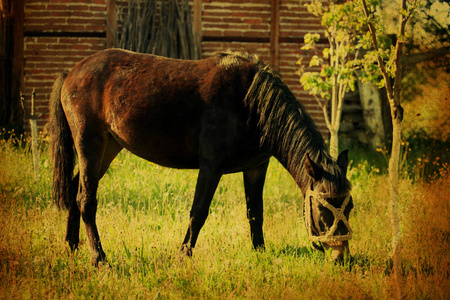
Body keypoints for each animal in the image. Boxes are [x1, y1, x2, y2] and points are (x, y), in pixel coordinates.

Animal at [48, 49, 352, 264]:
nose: (341, 258)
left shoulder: (256, 168)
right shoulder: (211, 167)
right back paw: (99, 258)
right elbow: (198, 212)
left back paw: (72, 246)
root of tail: (71, 72)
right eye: (324, 208)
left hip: (109, 147)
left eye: (348, 208)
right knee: (86, 199)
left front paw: (260, 252)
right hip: (90, 145)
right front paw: (184, 255)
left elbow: (256, 212)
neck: (250, 103)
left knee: (75, 190)